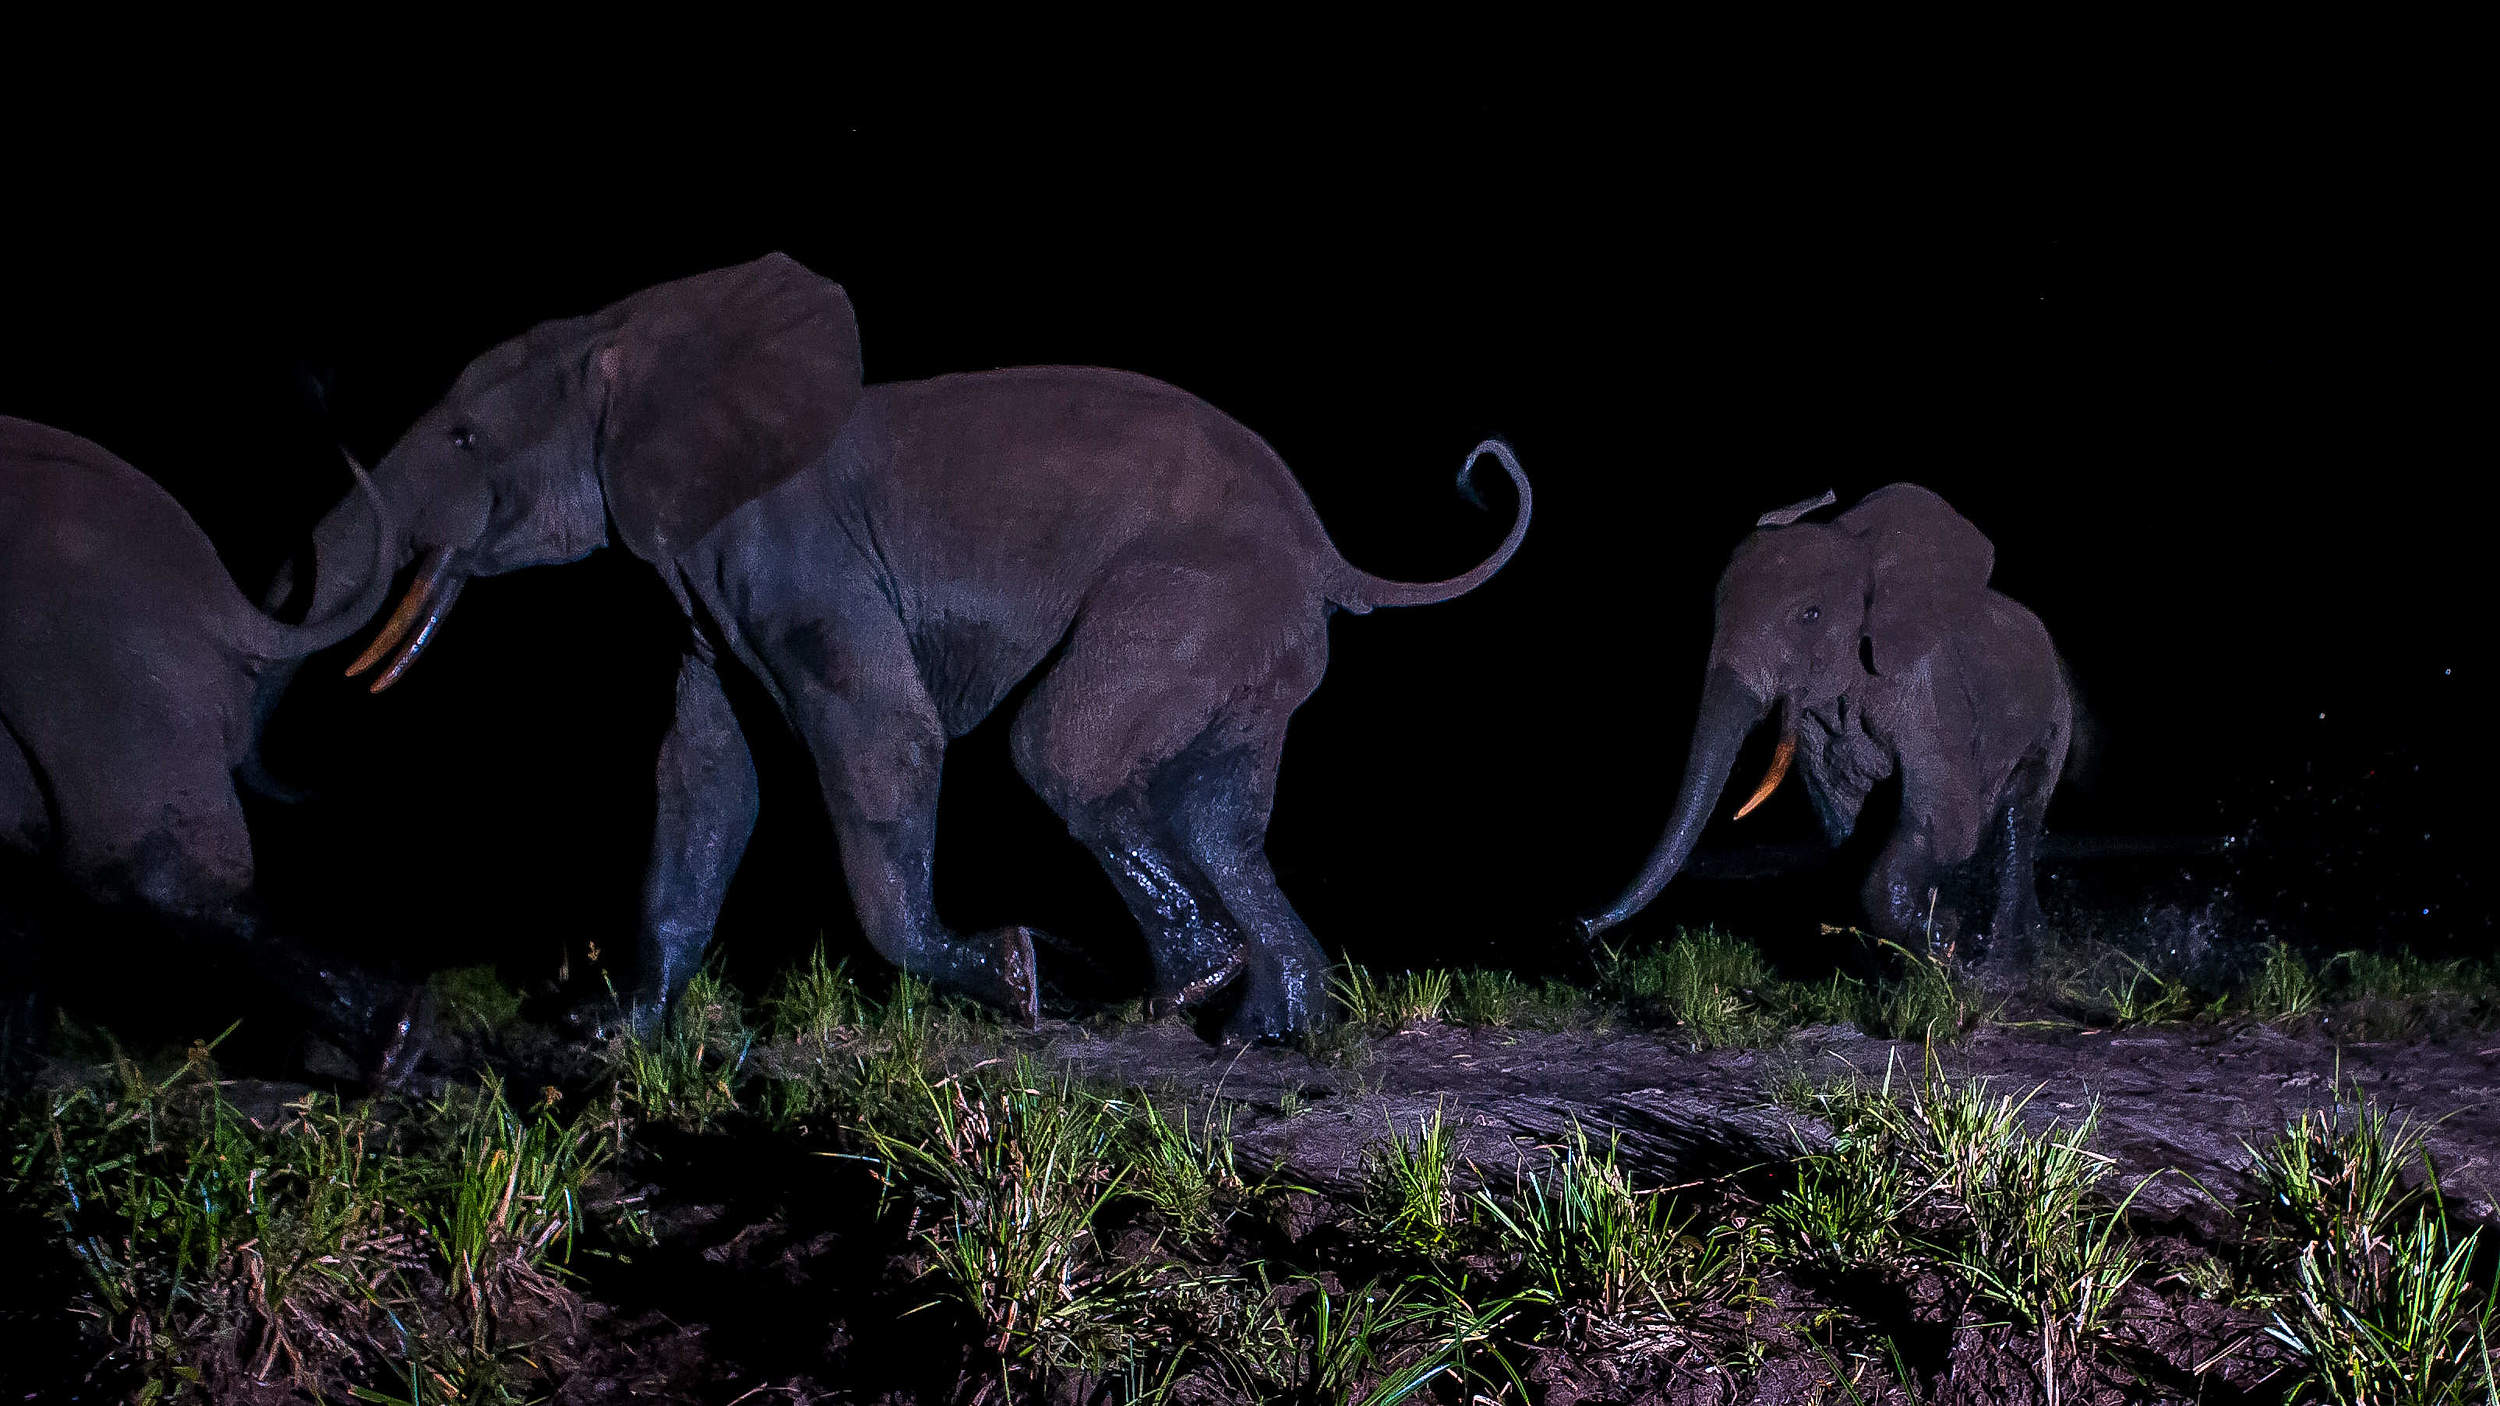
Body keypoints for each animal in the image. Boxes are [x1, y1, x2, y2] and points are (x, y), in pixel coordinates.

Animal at [273, 251, 1520, 1040]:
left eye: (462, 438)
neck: (632, 332)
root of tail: (1330, 556)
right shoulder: (705, 594)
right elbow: (700, 782)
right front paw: (605, 1034)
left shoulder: (796, 558)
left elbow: (881, 740)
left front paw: (1021, 981)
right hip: (1247, 633)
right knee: (1217, 809)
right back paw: (1265, 1030)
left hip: (1193, 594)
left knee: (1063, 752)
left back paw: (1178, 995)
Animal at [1580, 485, 2070, 960]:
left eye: (1810, 615)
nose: (1582, 927)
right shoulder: (1818, 729)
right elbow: (1847, 815)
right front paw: (1922, 943)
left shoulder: (1928, 684)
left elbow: (1945, 815)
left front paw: (1940, 942)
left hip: (2054, 715)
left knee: (2019, 814)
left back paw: (2007, 953)